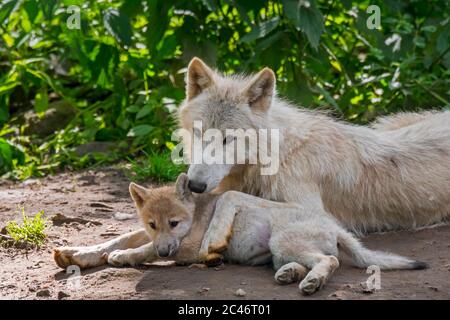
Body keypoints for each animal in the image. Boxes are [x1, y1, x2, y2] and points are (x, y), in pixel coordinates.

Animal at [179, 57, 450, 232]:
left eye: (228, 139)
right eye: (198, 132)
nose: (195, 185)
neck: (280, 154)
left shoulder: (314, 211)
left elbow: (232, 196)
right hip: (385, 123)